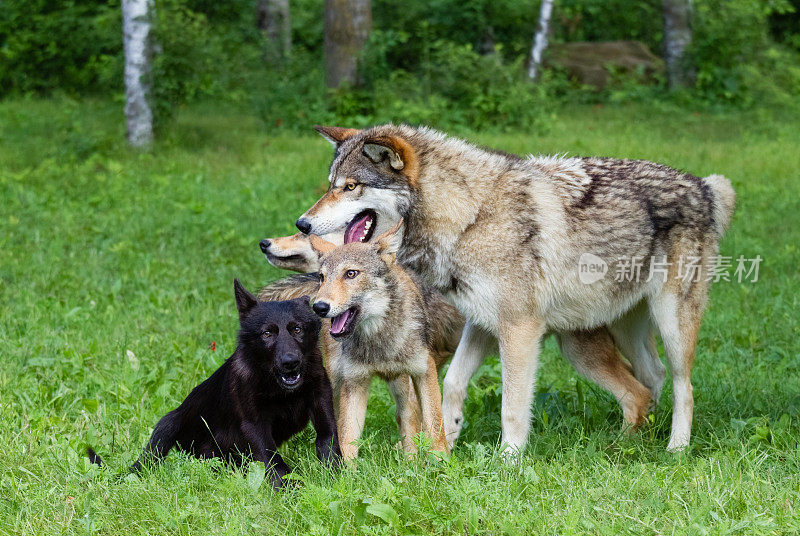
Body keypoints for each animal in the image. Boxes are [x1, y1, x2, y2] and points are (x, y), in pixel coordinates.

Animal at [86, 280, 340, 490]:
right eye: (267, 333)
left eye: (297, 329)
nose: (290, 362)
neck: (279, 390)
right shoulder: (255, 424)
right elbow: (273, 459)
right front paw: (288, 488)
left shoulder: (322, 404)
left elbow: (328, 442)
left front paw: (334, 477)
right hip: (168, 423)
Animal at [296, 124, 736, 452]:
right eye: (330, 184)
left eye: (350, 186)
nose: (302, 223)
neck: (469, 216)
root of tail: (705, 186)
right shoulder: (480, 323)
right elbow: (452, 385)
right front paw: (446, 450)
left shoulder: (518, 331)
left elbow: (512, 405)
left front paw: (508, 463)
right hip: (608, 338)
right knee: (649, 381)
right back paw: (634, 442)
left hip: (669, 327)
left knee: (683, 386)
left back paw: (675, 447)